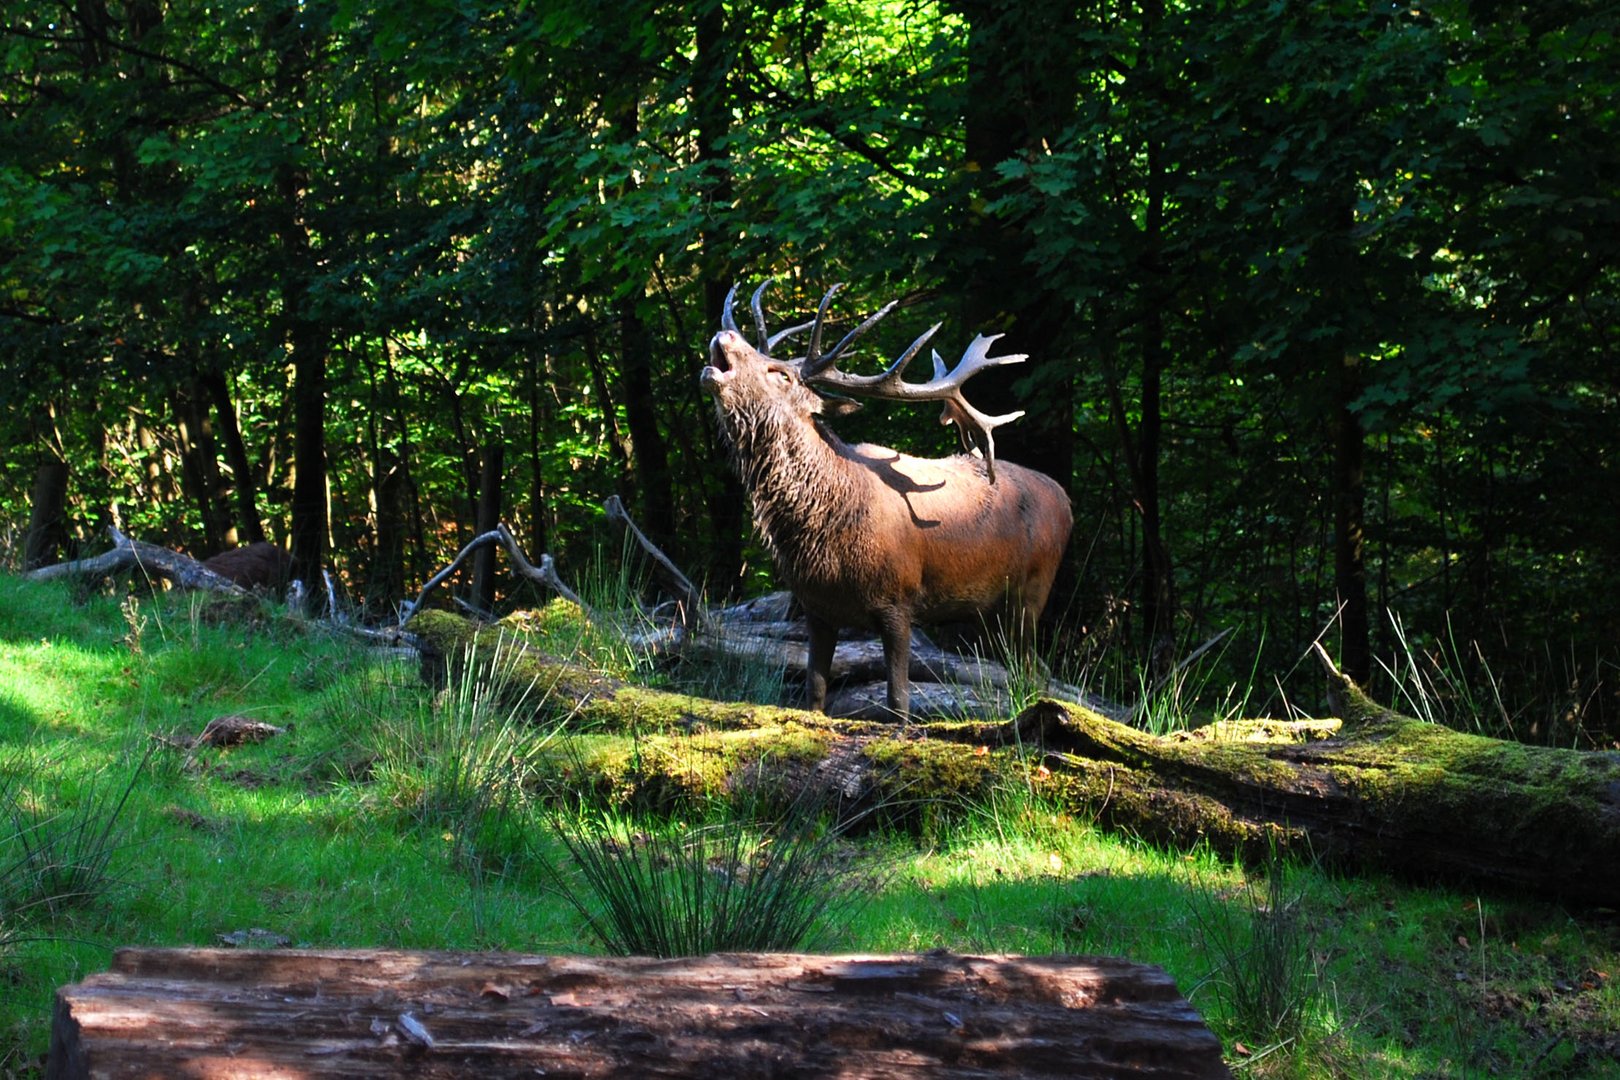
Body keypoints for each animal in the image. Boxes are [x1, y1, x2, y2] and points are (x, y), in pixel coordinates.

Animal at [699, 283, 1069, 722]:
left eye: (781, 374)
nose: (724, 335)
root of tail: (1065, 498)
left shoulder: (899, 600)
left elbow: (898, 701)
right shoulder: (816, 608)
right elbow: (815, 695)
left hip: (1033, 590)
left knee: (1034, 671)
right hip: (989, 609)